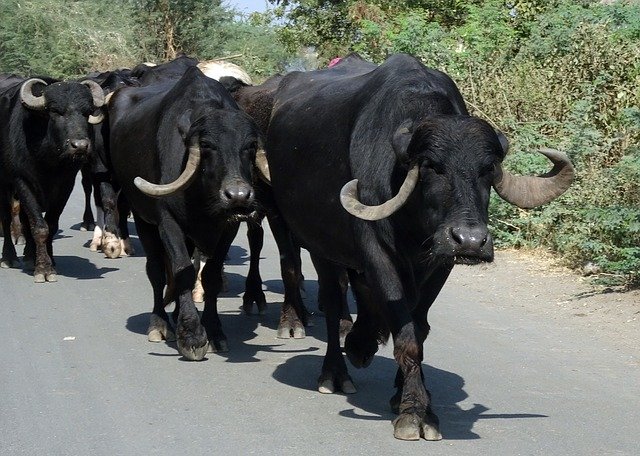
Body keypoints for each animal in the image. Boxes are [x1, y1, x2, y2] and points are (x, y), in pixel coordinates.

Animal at [0, 75, 105, 282]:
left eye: (87, 112)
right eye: (56, 112)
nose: (80, 146)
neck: (47, 161)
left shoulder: (65, 185)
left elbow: (51, 224)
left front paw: (48, 260)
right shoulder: (22, 181)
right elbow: (39, 227)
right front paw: (43, 269)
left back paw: (30, 255)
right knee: (7, 218)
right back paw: (9, 257)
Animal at [109, 65, 264, 360]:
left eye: (250, 146)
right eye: (207, 146)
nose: (238, 196)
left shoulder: (228, 227)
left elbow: (210, 276)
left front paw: (214, 331)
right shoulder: (168, 223)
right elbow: (182, 270)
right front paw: (191, 335)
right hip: (144, 220)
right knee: (157, 271)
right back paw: (160, 323)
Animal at [262, 52, 572, 438]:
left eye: (488, 168)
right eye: (431, 166)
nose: (470, 241)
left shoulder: (440, 263)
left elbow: (418, 327)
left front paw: (405, 394)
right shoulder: (377, 254)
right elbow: (405, 333)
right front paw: (415, 413)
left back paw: (362, 344)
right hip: (320, 246)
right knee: (334, 304)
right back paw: (335, 371)